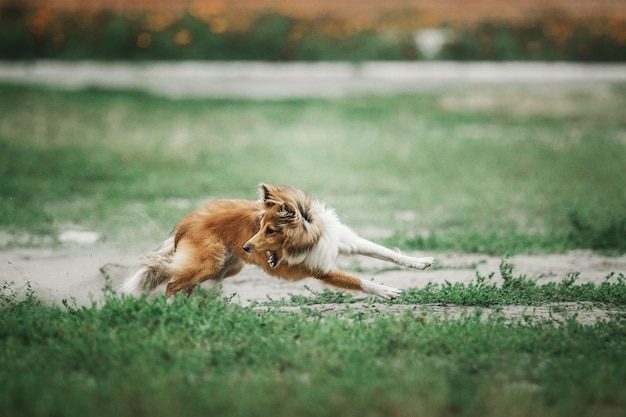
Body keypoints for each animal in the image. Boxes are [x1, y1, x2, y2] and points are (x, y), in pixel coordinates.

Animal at [120, 184, 434, 300]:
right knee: (172, 284)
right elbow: (358, 280)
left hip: (226, 267)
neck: (311, 235)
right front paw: (386, 290)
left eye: (270, 230)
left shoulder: (346, 242)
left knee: (184, 284)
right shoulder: (320, 269)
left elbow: (386, 253)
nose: (247, 247)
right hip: (207, 263)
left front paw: (419, 262)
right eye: (261, 227)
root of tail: (185, 221)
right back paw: (173, 307)